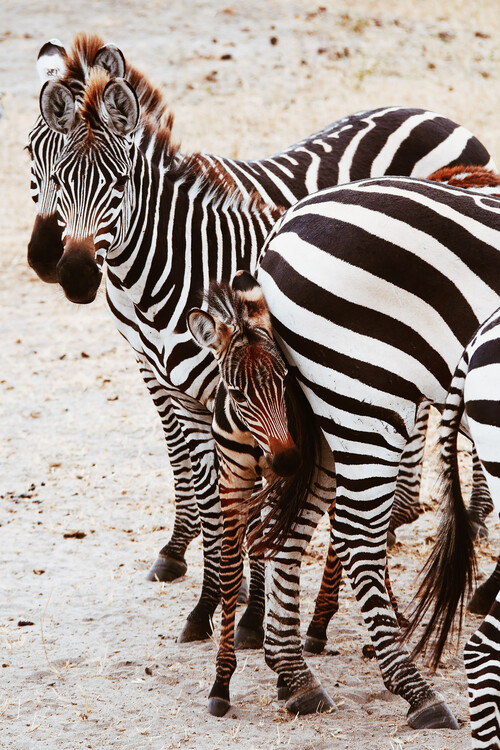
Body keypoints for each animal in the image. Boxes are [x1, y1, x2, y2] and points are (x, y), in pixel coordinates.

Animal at [29, 51, 497, 645]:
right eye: (52, 173)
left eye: (119, 183)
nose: (69, 272)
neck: (182, 273)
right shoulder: (181, 395)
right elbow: (210, 499)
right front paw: (209, 603)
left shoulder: (250, 399)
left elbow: (253, 507)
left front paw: (249, 617)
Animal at [245, 174, 500, 728]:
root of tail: (284, 224)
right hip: (365, 390)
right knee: (356, 531)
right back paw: (418, 692)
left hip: (320, 405)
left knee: (290, 520)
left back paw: (294, 674)